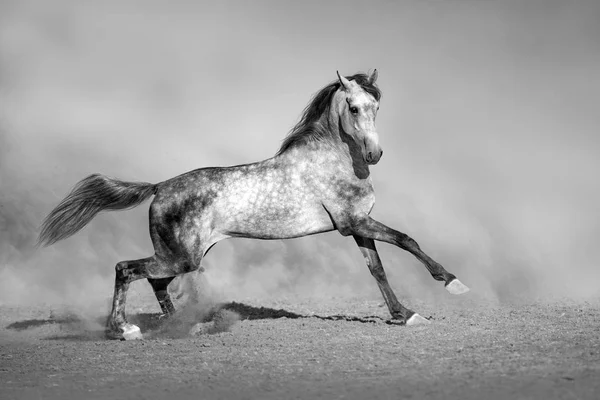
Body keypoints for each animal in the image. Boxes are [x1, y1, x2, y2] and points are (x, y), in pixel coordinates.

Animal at [37, 70, 472, 340]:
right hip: (181, 257)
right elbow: (407, 240)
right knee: (126, 270)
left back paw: (184, 327)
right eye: (353, 108)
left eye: (377, 107)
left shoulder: (356, 225)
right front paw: (453, 284)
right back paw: (125, 331)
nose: (375, 154)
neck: (334, 161)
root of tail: (159, 188)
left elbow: (378, 270)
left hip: (183, 257)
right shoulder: (355, 223)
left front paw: (406, 315)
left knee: (156, 282)